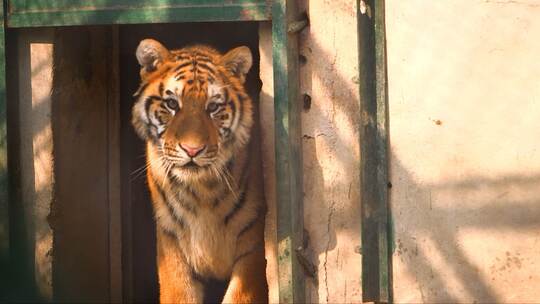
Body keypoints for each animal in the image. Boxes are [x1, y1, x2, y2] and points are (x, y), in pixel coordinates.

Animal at [129, 39, 268, 302]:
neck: (202, 189)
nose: (192, 149)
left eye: (213, 107)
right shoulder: (171, 242)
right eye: (172, 104)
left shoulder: (253, 248)